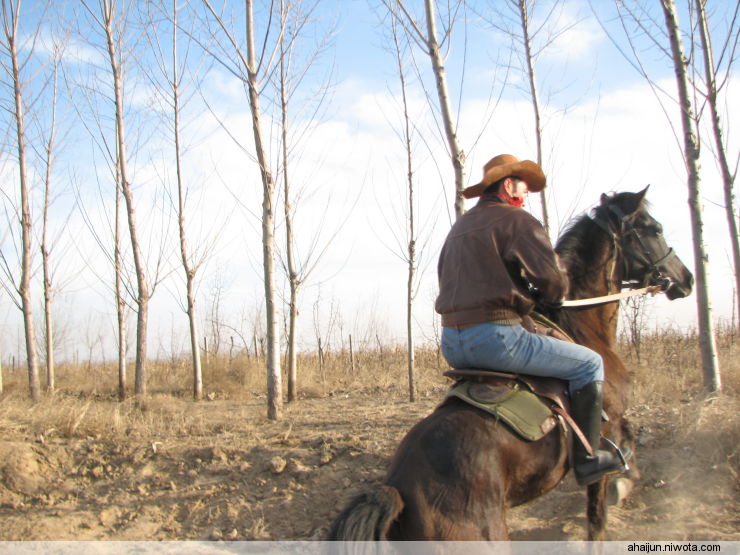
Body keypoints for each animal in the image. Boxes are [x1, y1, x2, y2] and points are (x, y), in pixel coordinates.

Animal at [330, 189, 692, 540]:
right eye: (654, 229)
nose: (686, 278)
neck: (581, 325)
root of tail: (399, 490)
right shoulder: (606, 423)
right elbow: (598, 516)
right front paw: (621, 482)